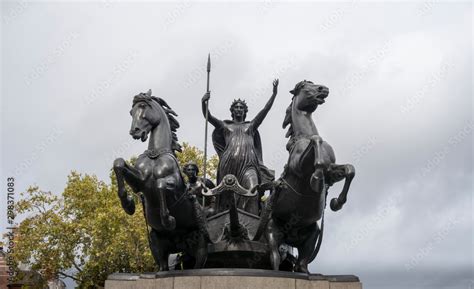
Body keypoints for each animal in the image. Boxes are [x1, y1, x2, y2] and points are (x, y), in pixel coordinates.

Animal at [113, 89, 207, 270]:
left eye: (143, 106)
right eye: (131, 112)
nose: (135, 131)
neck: (155, 154)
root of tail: (180, 244)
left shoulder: (174, 185)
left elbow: (160, 184)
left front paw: (168, 220)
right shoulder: (140, 181)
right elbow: (119, 163)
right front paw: (128, 204)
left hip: (199, 246)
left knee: (199, 263)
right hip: (157, 246)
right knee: (163, 266)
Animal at [254, 80, 354, 272]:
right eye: (304, 86)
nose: (324, 89)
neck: (304, 136)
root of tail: (290, 236)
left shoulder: (332, 173)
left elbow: (349, 170)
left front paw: (336, 202)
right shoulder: (299, 167)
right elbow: (316, 140)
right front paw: (316, 179)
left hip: (312, 236)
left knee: (301, 265)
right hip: (272, 233)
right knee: (275, 260)